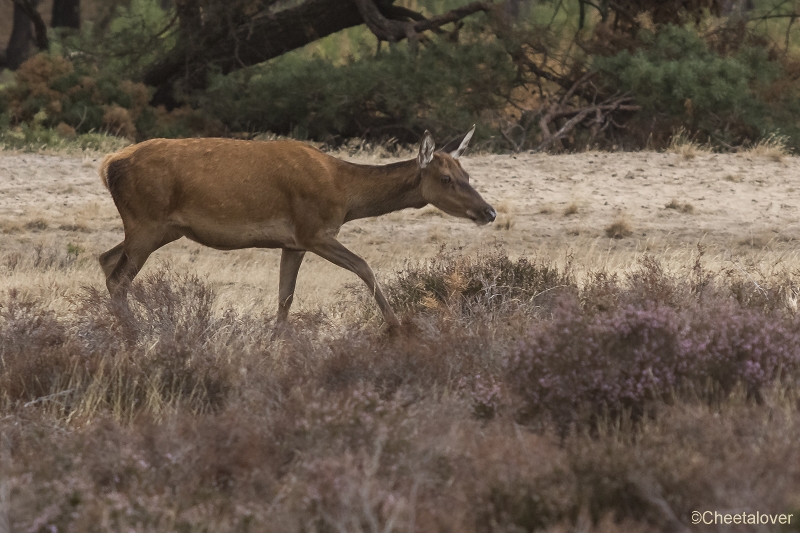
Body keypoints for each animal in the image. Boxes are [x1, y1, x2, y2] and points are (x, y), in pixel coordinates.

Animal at [95, 129, 494, 328]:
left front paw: (276, 340)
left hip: (159, 229)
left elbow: (285, 296)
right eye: (446, 178)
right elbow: (364, 267)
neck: (344, 194)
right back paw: (132, 334)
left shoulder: (293, 242)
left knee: (105, 259)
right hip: (146, 222)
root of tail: (107, 164)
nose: (488, 211)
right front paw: (397, 327)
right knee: (118, 277)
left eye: (467, 174)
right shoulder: (314, 230)